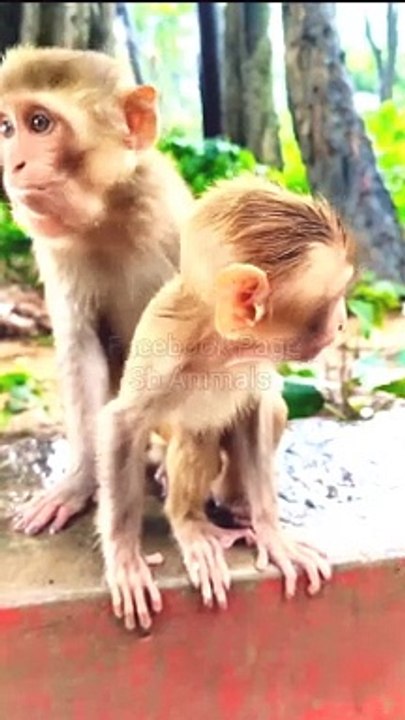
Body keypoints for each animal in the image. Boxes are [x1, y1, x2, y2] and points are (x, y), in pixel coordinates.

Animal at [0, 45, 194, 536]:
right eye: (7, 128)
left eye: (40, 123)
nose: (12, 164)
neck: (107, 212)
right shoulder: (55, 248)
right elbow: (81, 345)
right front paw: (82, 480)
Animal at [95, 176, 356, 630]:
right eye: (330, 300)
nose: (342, 322)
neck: (222, 347)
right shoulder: (165, 353)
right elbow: (124, 422)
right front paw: (125, 558)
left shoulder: (257, 360)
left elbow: (255, 412)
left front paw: (272, 532)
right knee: (193, 436)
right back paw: (190, 524)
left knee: (271, 410)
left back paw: (236, 507)